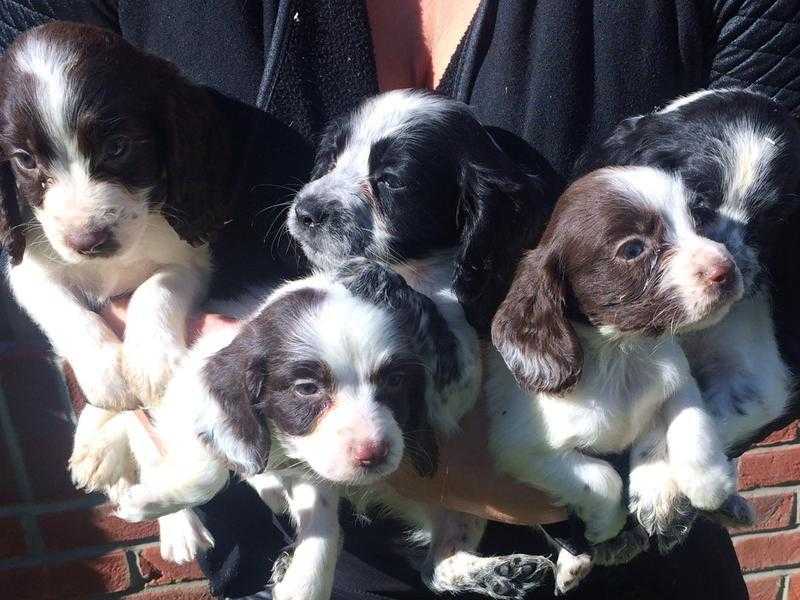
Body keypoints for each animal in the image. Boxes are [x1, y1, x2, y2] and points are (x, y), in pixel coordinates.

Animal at [0, 22, 230, 564]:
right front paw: (107, 373)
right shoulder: (27, 266)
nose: (88, 241)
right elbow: (66, 312)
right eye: (24, 160)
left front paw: (147, 360)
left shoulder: (191, 257)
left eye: (120, 146)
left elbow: (156, 286)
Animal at [494, 166, 744, 592]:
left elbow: (690, 423)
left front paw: (706, 485)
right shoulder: (520, 450)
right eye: (632, 250)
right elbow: (602, 478)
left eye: (696, 223)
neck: (618, 354)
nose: (726, 270)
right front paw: (604, 526)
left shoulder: (677, 379)